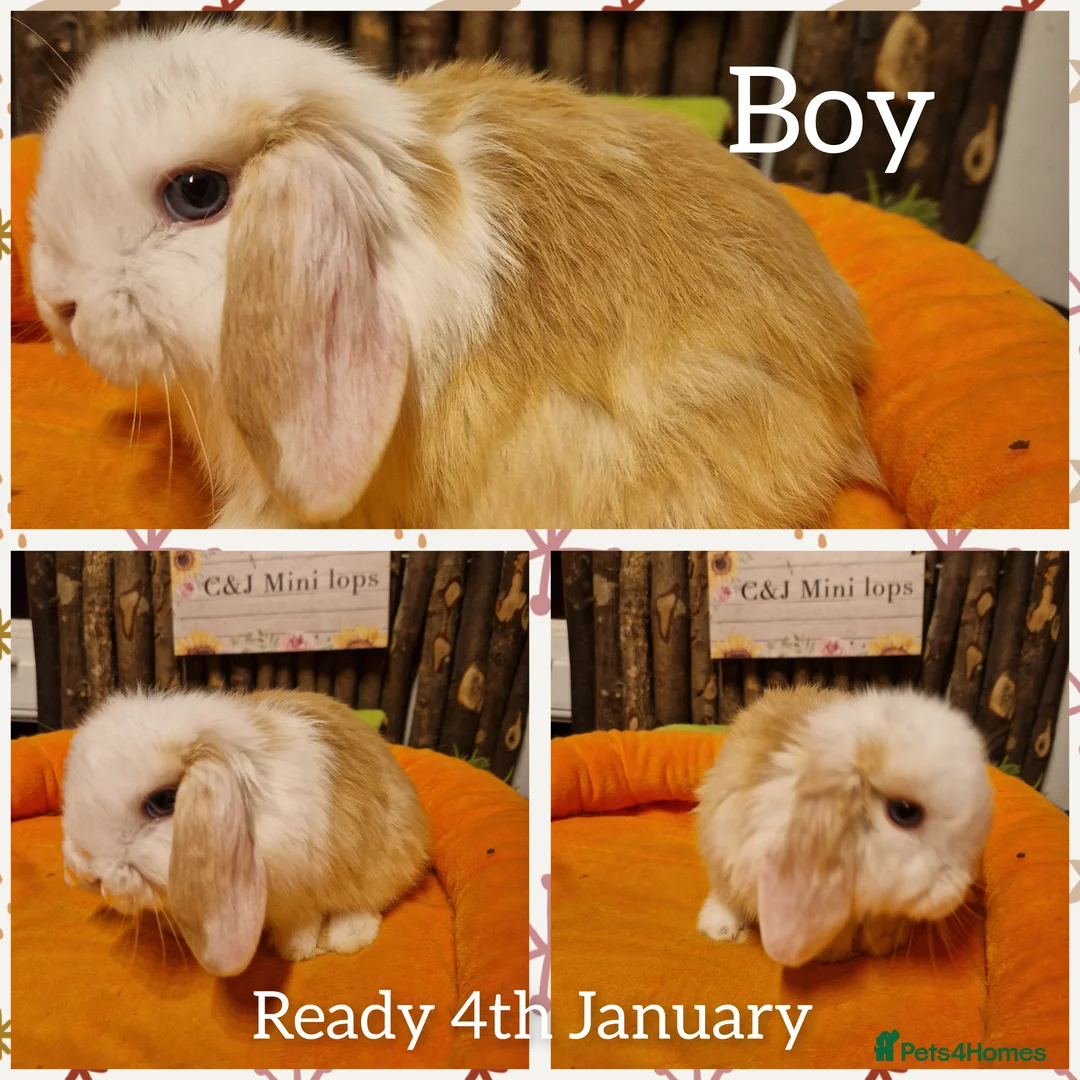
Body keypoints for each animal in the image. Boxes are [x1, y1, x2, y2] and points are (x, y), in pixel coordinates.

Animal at [60, 687, 430, 977]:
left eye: (163, 801)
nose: (88, 873)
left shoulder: (300, 888)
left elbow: (302, 920)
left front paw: (297, 950)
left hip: (387, 860)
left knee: (368, 900)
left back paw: (345, 939)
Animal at [694, 685, 994, 967]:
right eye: (904, 812)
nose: (958, 889)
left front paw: (883, 944)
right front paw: (833, 955)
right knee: (724, 894)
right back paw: (722, 929)